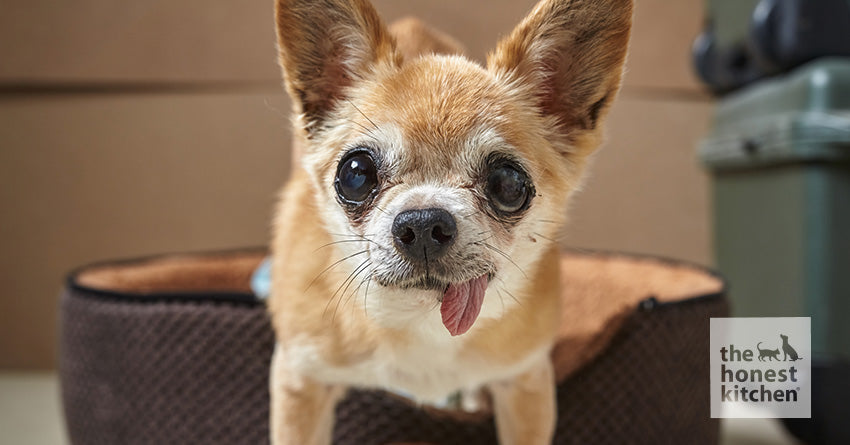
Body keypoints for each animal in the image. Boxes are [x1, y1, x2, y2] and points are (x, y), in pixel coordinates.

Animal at [268, 1, 632, 442]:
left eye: (508, 183)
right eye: (356, 174)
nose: (424, 223)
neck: (421, 323)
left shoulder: (526, 382)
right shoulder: (300, 383)